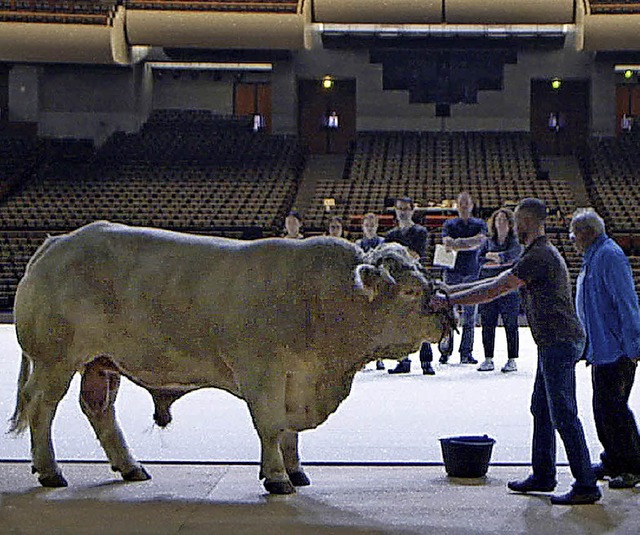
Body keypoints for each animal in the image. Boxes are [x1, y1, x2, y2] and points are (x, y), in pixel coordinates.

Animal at [10, 221, 450, 494]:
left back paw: (131, 467)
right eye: (410, 291)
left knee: (99, 409)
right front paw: (277, 478)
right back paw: (50, 471)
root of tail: (59, 243)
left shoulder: (295, 379)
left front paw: (295, 470)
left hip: (101, 363)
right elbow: (271, 426)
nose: (448, 311)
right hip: (54, 360)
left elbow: (289, 431)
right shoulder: (263, 373)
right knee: (41, 407)